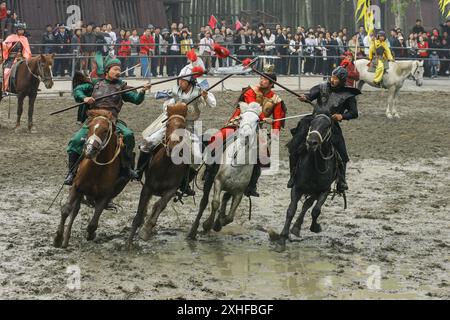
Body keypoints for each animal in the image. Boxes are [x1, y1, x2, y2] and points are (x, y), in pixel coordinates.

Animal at [54, 109, 129, 249]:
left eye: (105, 130)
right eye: (89, 128)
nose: (89, 150)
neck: (97, 169)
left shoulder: (105, 195)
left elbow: (93, 223)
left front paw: (91, 234)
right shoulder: (76, 187)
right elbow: (66, 210)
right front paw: (57, 238)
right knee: (74, 211)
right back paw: (65, 240)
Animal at [126, 102, 190, 248]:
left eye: (183, 127)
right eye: (168, 125)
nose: (173, 146)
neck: (166, 166)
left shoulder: (171, 191)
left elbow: (159, 207)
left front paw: (145, 231)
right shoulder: (147, 187)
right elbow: (139, 215)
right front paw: (129, 243)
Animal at [187, 101, 264, 239]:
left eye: (257, 120)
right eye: (241, 117)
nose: (245, 136)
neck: (238, 162)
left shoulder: (239, 192)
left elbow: (230, 217)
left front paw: (218, 223)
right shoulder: (218, 182)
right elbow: (215, 203)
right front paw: (207, 224)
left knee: (225, 199)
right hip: (209, 180)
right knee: (204, 202)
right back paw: (193, 231)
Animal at [268, 114, 338, 246]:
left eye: (327, 126)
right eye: (312, 124)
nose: (311, 143)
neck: (315, 167)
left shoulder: (324, 190)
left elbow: (316, 210)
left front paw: (315, 227)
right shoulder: (297, 188)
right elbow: (291, 210)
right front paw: (283, 236)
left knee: (308, 205)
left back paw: (297, 227)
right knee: (305, 205)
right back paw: (295, 228)